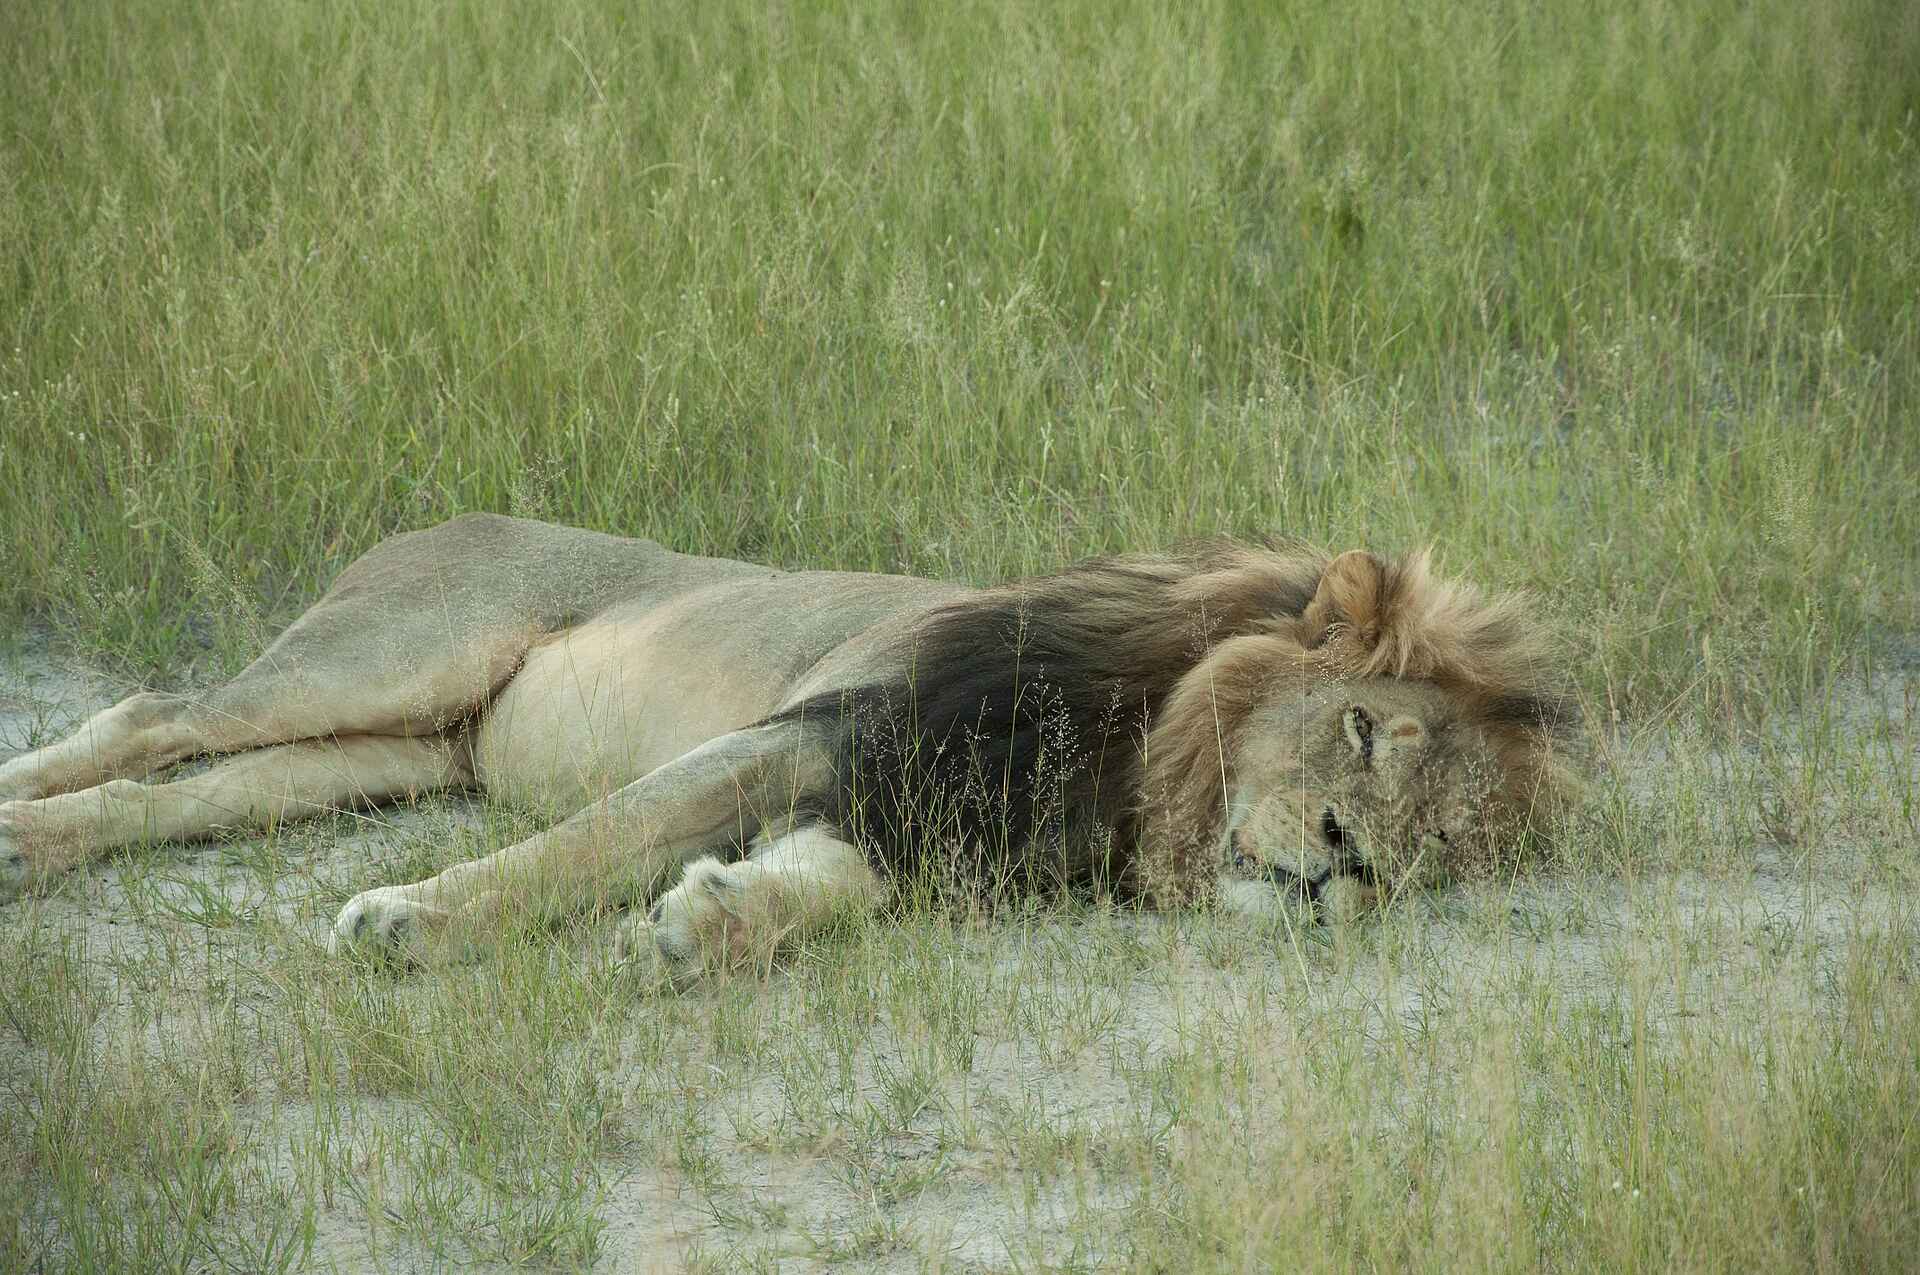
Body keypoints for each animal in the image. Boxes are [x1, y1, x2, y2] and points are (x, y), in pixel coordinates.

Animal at [0, 514, 1577, 975]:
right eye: (1363, 731)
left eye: (1437, 850)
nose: (1344, 860)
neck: (1134, 764)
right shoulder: (808, 734)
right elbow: (585, 842)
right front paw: (409, 921)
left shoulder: (916, 832)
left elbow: (822, 896)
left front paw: (703, 921)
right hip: (388, 654)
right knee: (155, 717)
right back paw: (14, 819)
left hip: (396, 751)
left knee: (179, 795)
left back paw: (38, 845)